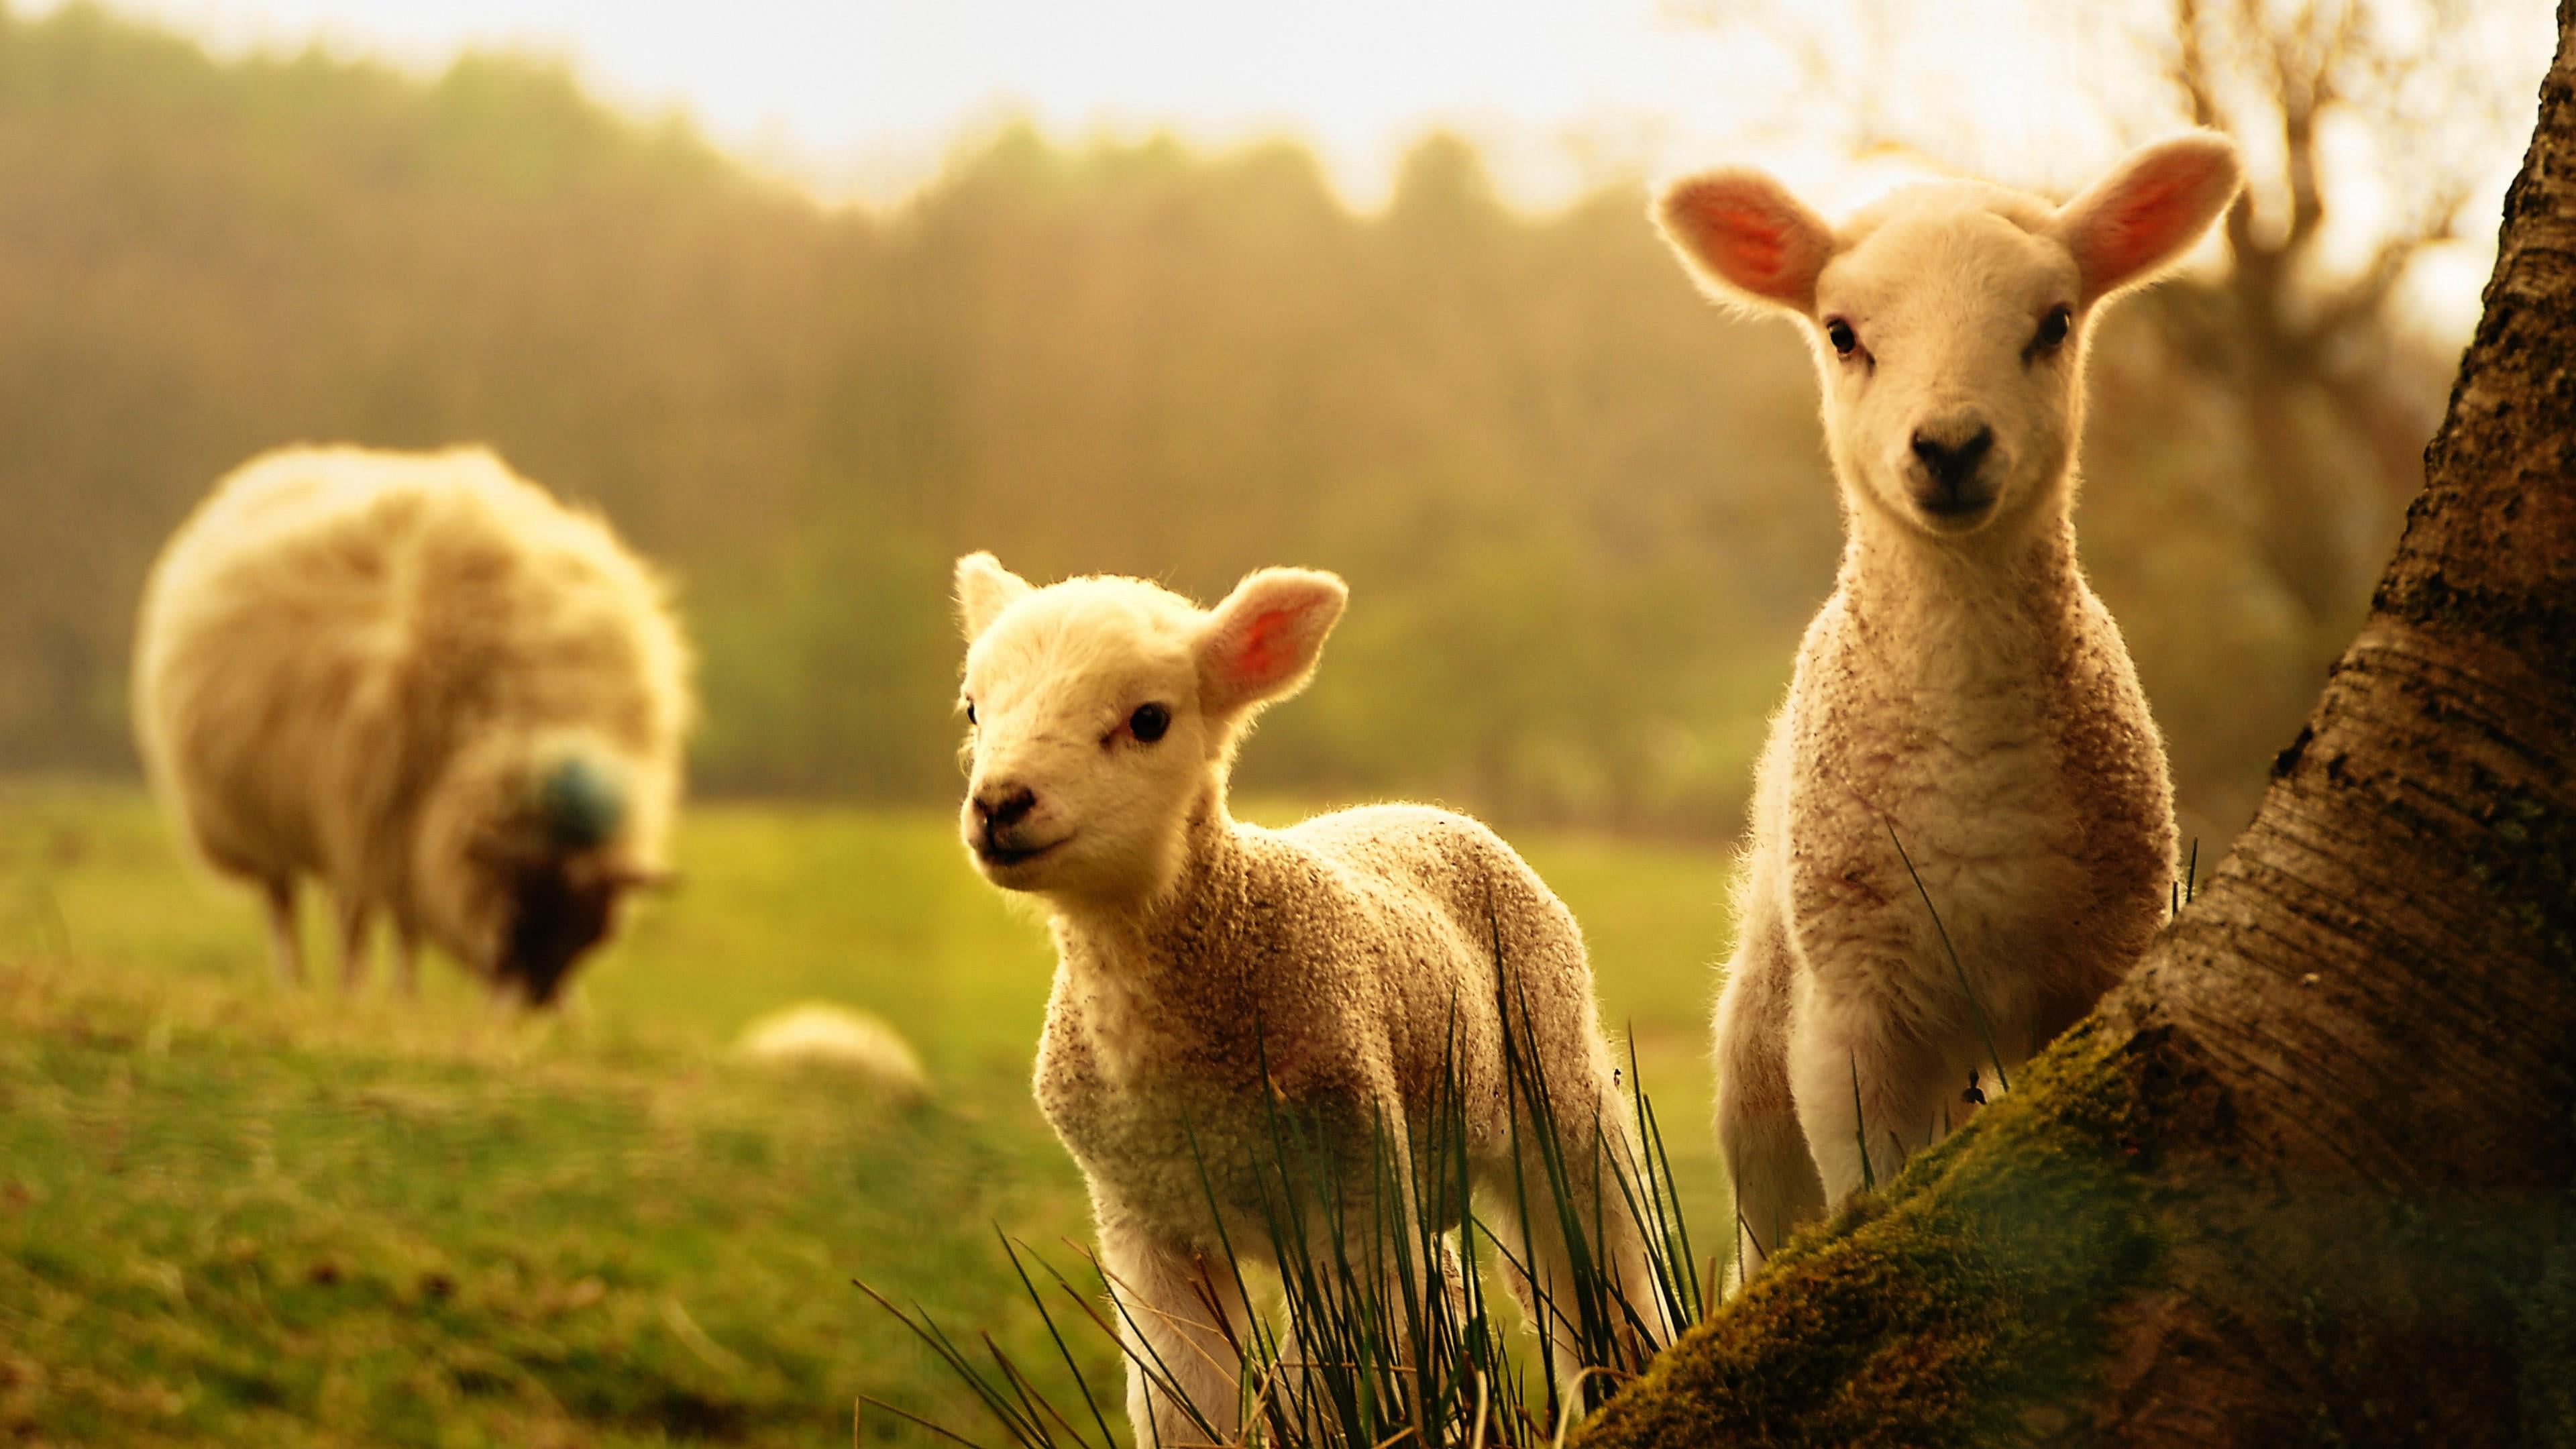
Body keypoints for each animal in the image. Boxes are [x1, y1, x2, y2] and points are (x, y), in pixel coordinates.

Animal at [132, 444, 692, 1006]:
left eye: (590, 931)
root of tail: (273, 467)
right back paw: (301, 982)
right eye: (518, 903)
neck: (533, 723)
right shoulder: (372, 812)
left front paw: (406, 999)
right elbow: (372, 921)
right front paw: (371, 995)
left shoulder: (408, 831)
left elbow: (407, 924)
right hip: (255, 819)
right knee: (285, 905)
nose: (533, 1008)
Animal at [951, 552, 1660, 1445]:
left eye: (1148, 719)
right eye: (974, 709)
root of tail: (1426, 808)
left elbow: (1321, 1394)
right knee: (1447, 1292)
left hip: (1555, 1079)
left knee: (1601, 1267)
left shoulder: (1349, 1195)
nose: (1000, 805)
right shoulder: (1146, 1223)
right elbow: (1182, 1402)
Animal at [1652, 135, 2242, 1272]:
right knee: (1766, 1213)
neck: (1972, 759)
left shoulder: (2093, 968)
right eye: (1842, 333)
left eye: (2055, 323)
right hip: (1762, 1036)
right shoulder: (1854, 1008)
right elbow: (1865, 1188)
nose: (1952, 446)